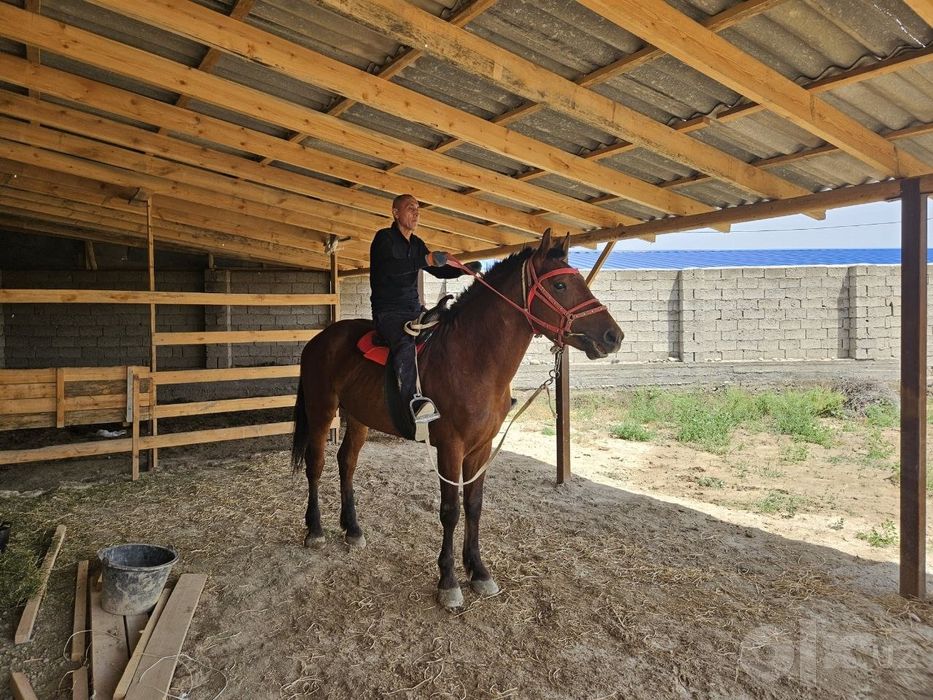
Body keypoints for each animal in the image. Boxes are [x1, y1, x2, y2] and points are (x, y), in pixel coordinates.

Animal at [291, 229, 623, 609]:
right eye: (560, 286)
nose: (614, 336)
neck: (472, 358)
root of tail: (319, 340)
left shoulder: (480, 448)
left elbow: (474, 506)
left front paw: (478, 571)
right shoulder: (450, 448)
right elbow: (450, 510)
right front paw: (448, 580)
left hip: (358, 417)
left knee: (346, 463)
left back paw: (353, 529)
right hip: (321, 410)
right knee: (316, 464)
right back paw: (315, 530)